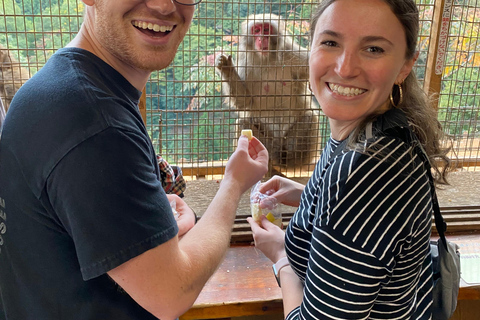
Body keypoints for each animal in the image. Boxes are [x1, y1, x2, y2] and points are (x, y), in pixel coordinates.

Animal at [217, 13, 320, 172]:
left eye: (266, 29)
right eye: (256, 30)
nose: (261, 39)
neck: (267, 60)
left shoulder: (292, 53)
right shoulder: (245, 61)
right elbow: (245, 101)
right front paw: (227, 70)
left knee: (309, 116)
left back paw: (291, 159)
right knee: (244, 122)